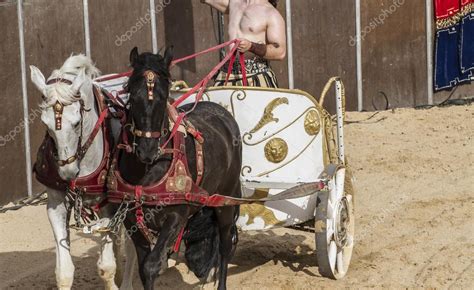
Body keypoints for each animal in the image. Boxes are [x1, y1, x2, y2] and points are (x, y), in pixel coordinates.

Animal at [30, 55, 133, 290]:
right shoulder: (56, 204)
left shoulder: (108, 207)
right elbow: (64, 272)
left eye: (77, 122)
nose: (67, 172)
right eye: (45, 124)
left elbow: (106, 267)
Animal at [118, 46, 243, 288]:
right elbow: (143, 267)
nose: (147, 150)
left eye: (164, 97)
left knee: (224, 246)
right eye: (133, 95)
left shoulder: (176, 215)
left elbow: (151, 265)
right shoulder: (132, 221)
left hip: (226, 201)